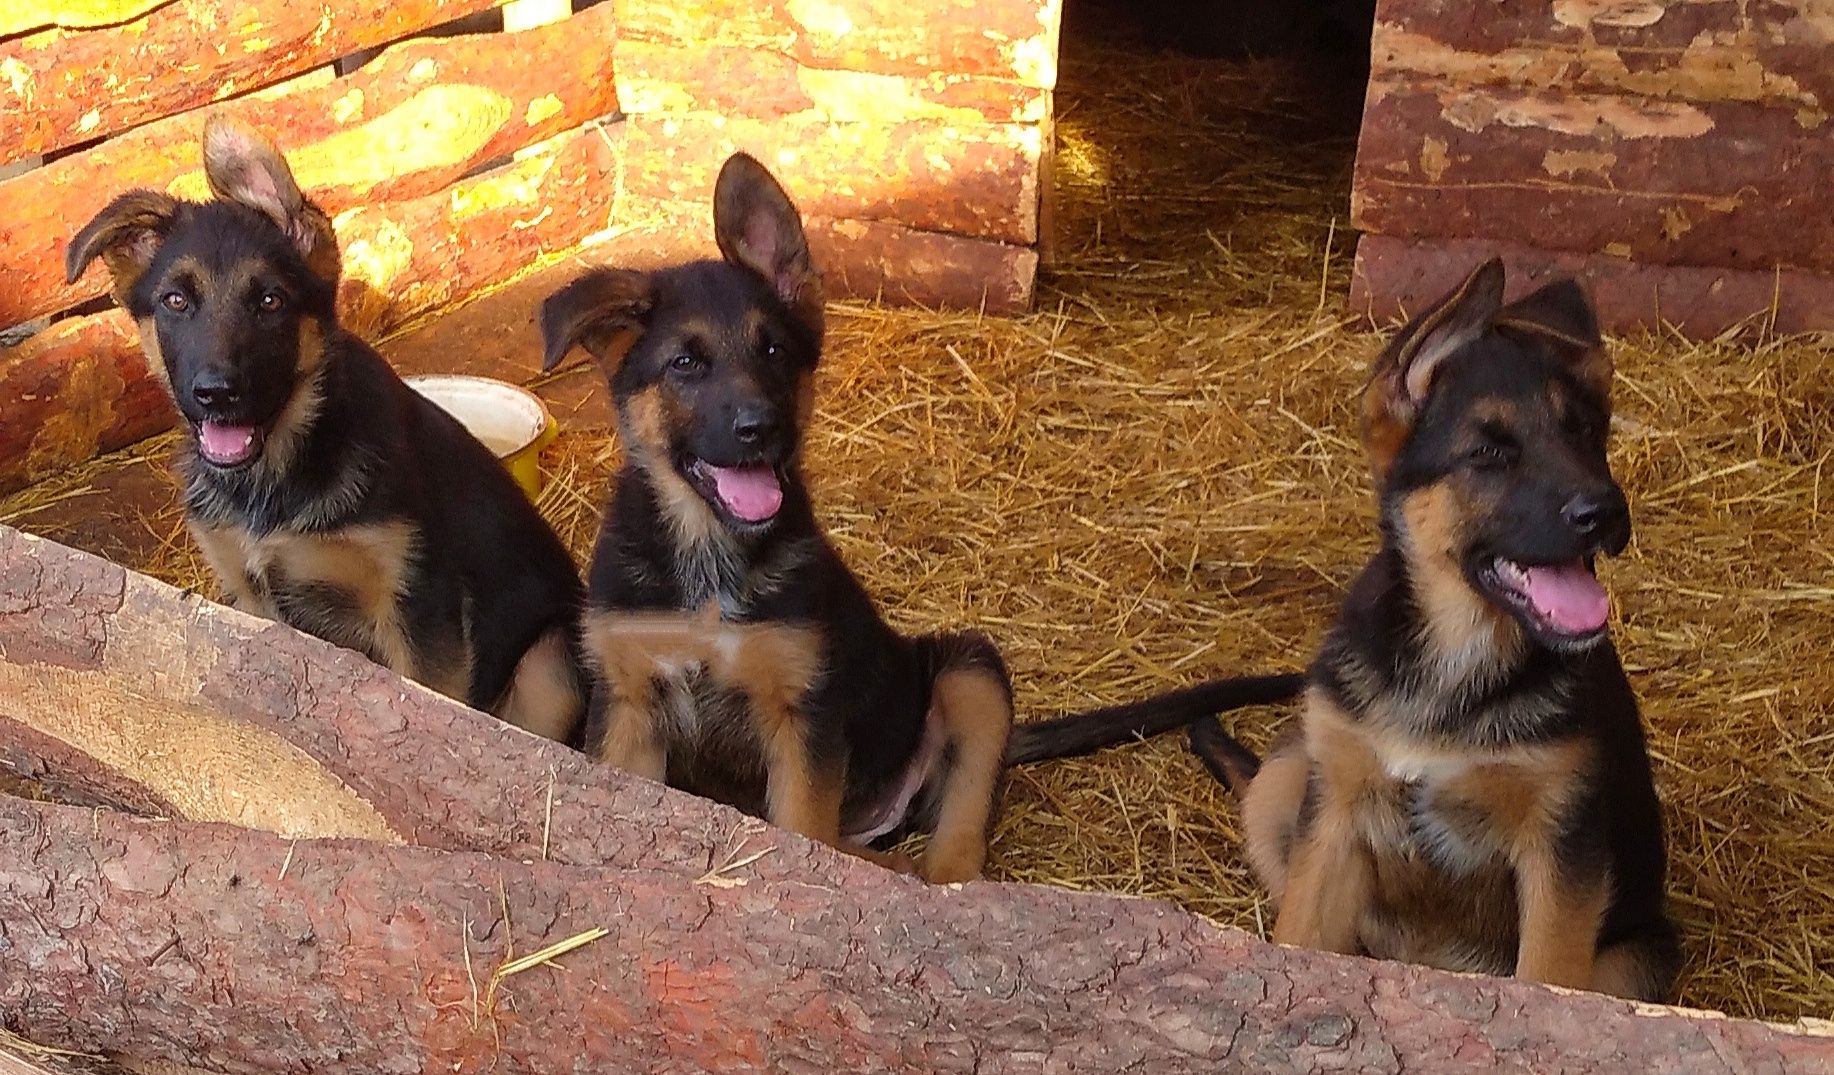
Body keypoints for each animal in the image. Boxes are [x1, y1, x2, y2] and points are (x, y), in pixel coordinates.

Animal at [69, 115, 586, 737]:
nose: (216, 394)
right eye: (174, 301)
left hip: (550, 664)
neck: (277, 474)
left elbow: (435, 713)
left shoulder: (417, 602)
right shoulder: (252, 598)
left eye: (271, 301)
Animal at [535, 153, 1027, 880]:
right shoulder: (629, 702)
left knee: (958, 818)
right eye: (685, 363)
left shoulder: (803, 717)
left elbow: (801, 832)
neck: (709, 556)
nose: (759, 429)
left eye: (775, 352)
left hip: (970, 670)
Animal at [1181, 256, 1679, 997]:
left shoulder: (1562, 851)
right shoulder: (1332, 821)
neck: (1454, 658)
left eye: (1589, 435)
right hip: (1283, 785)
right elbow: (1299, 938)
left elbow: (1545, 979)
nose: (1607, 511)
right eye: (1489, 453)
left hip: (1632, 956)